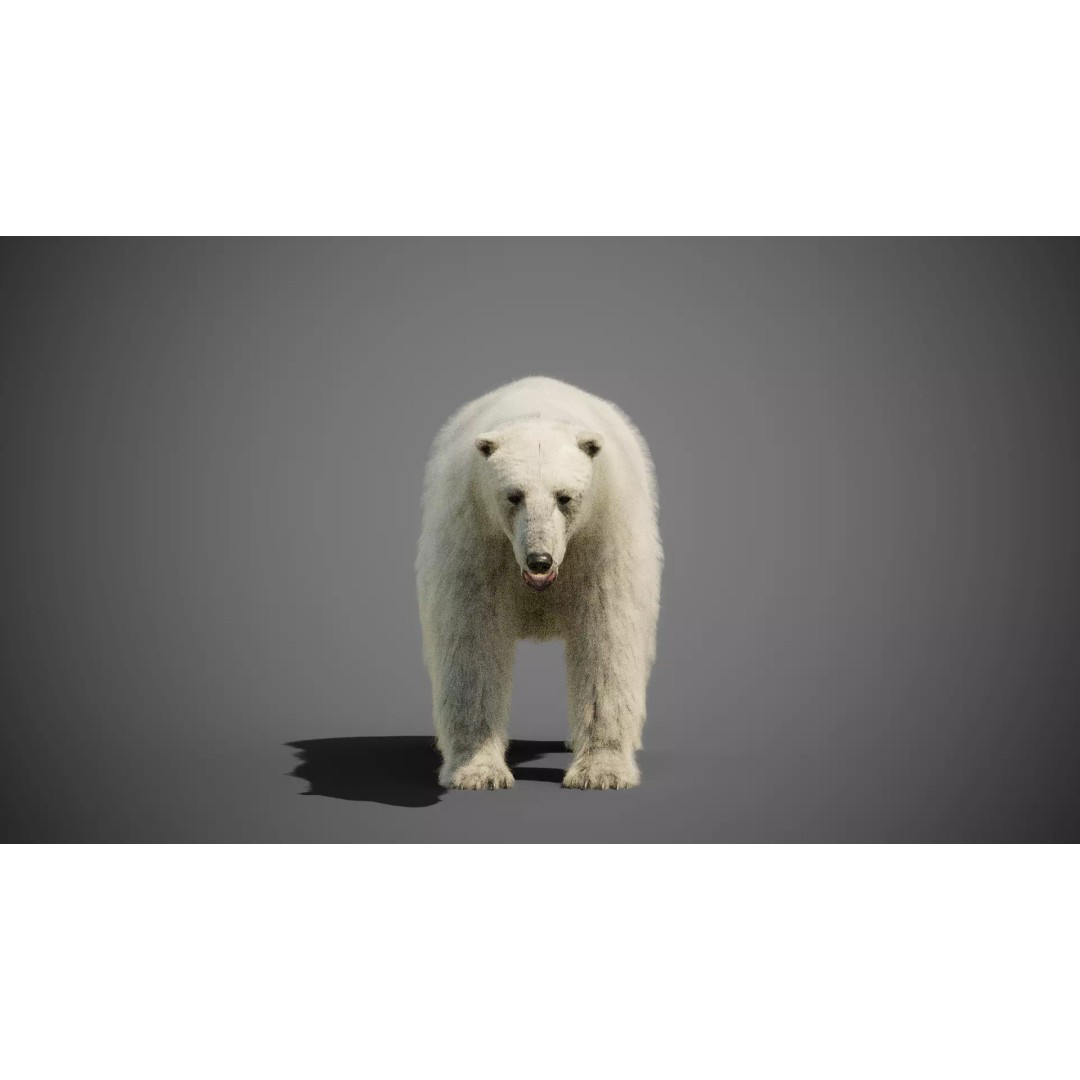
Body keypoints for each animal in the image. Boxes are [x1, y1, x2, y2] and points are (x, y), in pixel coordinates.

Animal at [416, 376, 662, 790]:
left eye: (565, 497)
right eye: (513, 495)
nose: (540, 560)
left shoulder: (603, 533)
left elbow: (608, 636)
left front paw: (601, 773)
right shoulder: (474, 535)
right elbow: (471, 640)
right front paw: (479, 773)